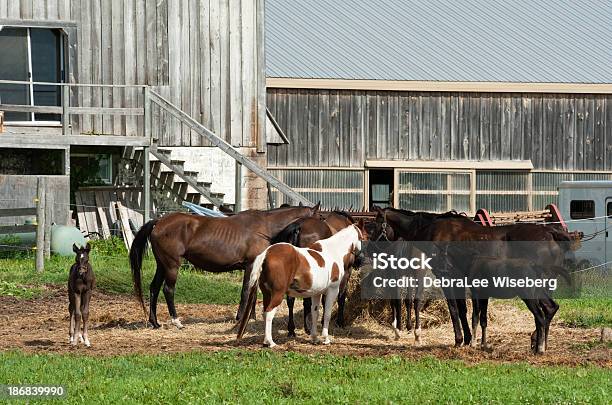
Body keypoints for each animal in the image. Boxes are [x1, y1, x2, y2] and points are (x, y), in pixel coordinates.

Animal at [129, 204, 320, 326]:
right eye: (320, 217)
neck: (265, 227)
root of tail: (158, 222)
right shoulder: (250, 265)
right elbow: (246, 291)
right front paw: (240, 317)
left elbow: (252, 293)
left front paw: (251, 318)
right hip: (171, 265)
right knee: (168, 290)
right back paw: (176, 321)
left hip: (162, 265)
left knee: (154, 288)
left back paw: (155, 322)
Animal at [237, 219, 366, 346]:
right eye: (363, 238)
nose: (360, 261)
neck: (332, 251)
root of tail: (266, 254)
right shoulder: (332, 290)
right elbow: (327, 314)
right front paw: (326, 338)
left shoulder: (316, 293)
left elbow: (315, 313)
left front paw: (314, 338)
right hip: (278, 294)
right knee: (269, 313)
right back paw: (271, 342)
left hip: (267, 294)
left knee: (265, 312)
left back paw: (266, 341)